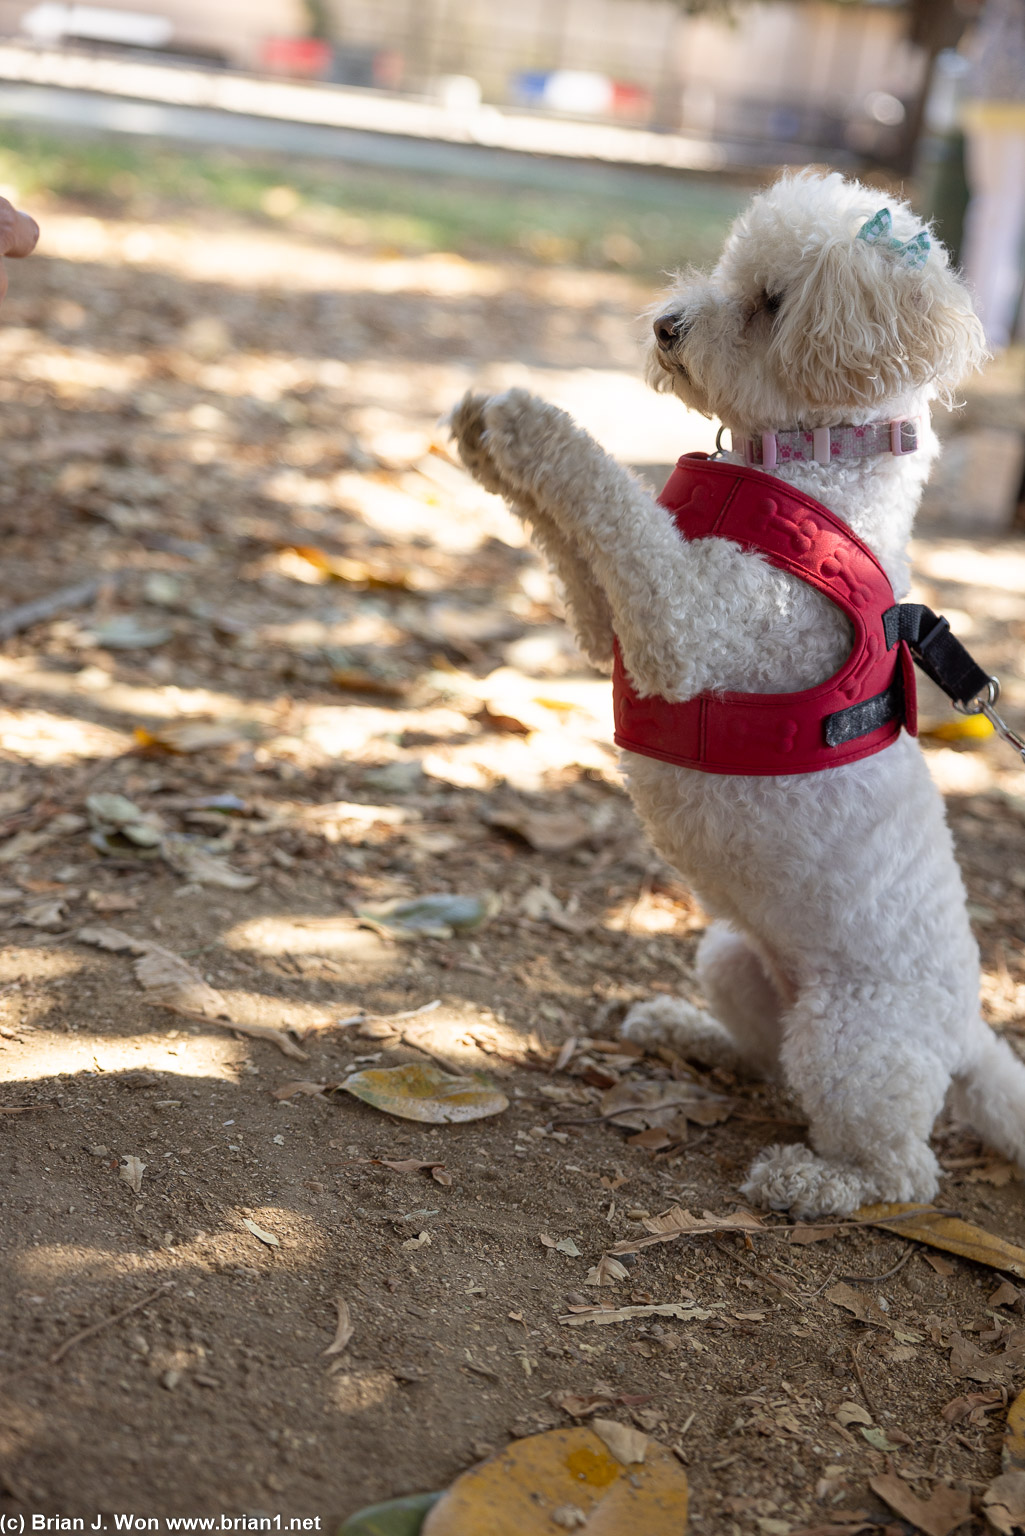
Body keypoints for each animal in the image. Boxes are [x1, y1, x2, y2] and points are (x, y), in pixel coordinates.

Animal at [451, 168, 1025, 1216]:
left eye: (769, 302)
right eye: (726, 270)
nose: (667, 325)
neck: (816, 474)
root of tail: (967, 1033)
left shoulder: (682, 629)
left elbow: (616, 504)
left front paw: (526, 422)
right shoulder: (608, 626)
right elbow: (579, 545)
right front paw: (480, 437)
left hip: (853, 1038)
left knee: (900, 1168)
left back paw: (809, 1180)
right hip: (730, 956)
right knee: (763, 1060)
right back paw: (685, 1032)